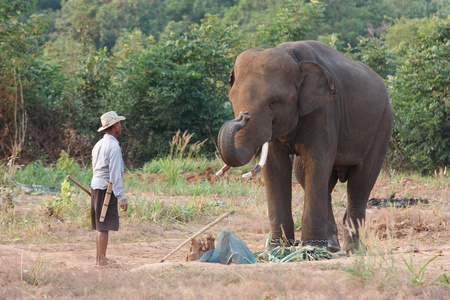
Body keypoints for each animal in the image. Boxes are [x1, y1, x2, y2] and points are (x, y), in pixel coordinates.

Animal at [216, 39, 392, 251]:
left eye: (273, 103)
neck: (291, 55)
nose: (243, 116)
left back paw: (352, 250)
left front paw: (310, 249)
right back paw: (332, 247)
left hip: (382, 128)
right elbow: (276, 167)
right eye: (232, 99)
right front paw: (278, 249)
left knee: (360, 183)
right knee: (312, 177)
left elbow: (316, 161)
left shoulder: (325, 110)